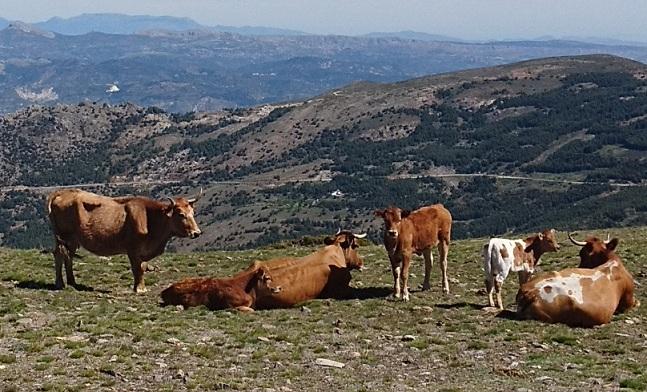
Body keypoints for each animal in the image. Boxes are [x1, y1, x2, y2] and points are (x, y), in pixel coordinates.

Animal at [47, 188, 202, 292]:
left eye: (193, 213)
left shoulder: (143, 251)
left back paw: (73, 283)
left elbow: (143, 267)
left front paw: (141, 287)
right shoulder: (132, 248)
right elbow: (137, 268)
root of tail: (63, 192)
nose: (197, 233)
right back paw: (60, 284)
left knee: (68, 256)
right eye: (181, 214)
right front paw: (139, 289)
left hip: (72, 239)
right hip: (63, 236)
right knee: (60, 255)